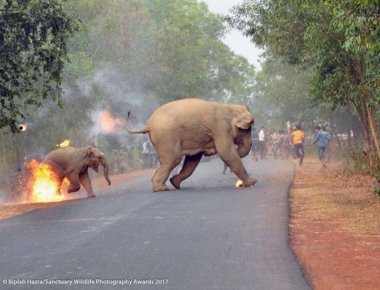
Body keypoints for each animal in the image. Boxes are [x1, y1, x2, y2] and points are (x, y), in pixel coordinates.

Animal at [128, 98, 258, 191]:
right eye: (249, 128)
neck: (229, 108)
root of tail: (149, 124)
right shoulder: (221, 129)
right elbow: (226, 152)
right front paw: (252, 182)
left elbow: (193, 160)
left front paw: (175, 182)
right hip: (166, 136)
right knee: (173, 159)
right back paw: (161, 189)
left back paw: (167, 185)